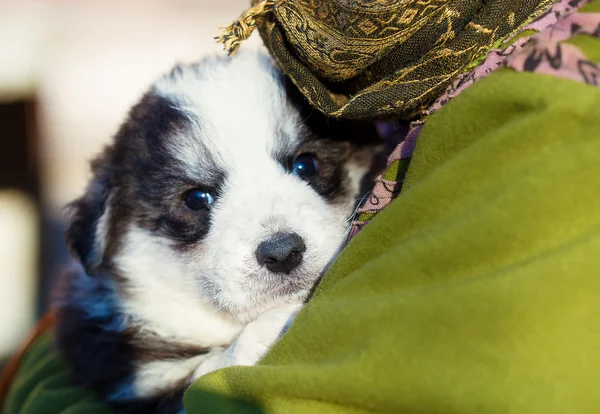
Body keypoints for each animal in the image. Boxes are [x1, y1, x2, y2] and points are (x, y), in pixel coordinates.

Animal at [54, 50, 378, 412]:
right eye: (196, 199)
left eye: (305, 164)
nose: (282, 252)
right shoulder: (139, 382)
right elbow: (208, 373)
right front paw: (273, 324)